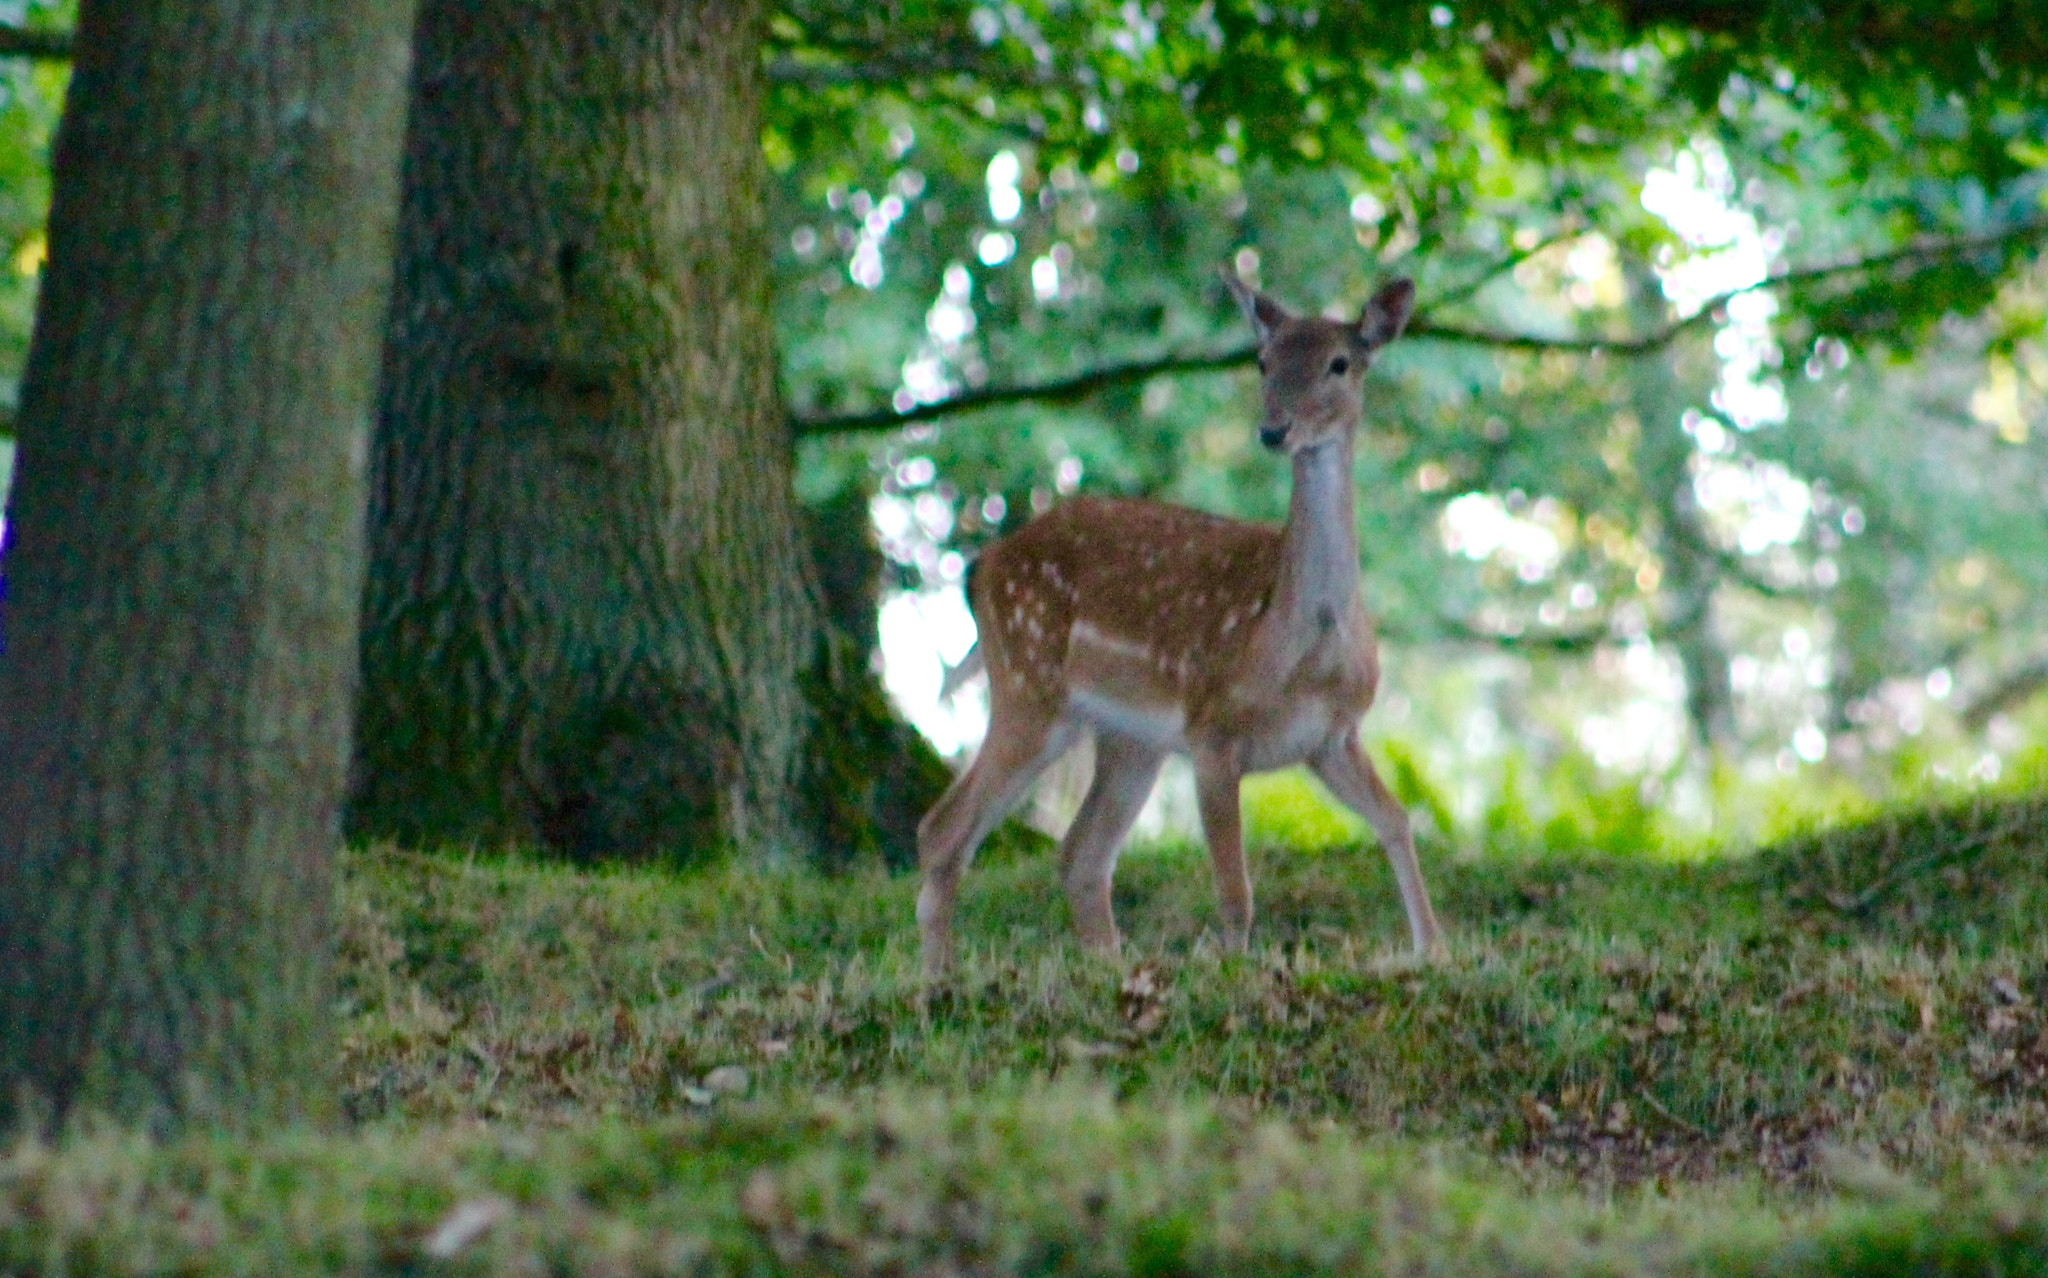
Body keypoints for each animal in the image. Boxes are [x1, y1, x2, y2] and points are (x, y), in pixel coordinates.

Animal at [915, 268, 1445, 975]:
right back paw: (937, 974)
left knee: (1080, 853)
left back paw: (1106, 967)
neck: (1300, 648)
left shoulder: (1332, 736)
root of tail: (981, 567)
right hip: (1031, 687)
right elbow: (1235, 890)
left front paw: (1433, 949)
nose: (1274, 431)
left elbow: (1397, 821)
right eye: (1262, 361)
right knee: (944, 828)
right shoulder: (1213, 731)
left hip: (1130, 735)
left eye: (1340, 363)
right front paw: (1234, 972)